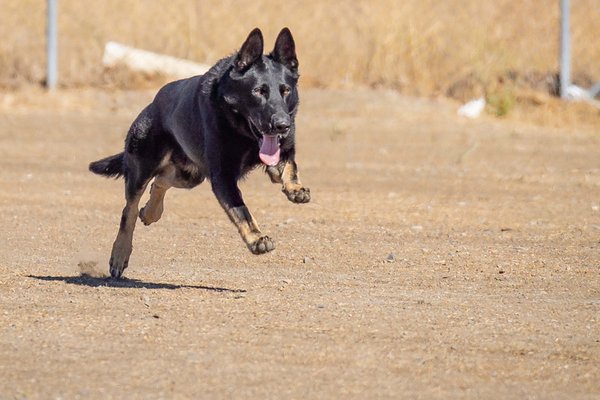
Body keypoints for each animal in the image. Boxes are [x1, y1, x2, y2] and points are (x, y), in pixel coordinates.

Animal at [92, 28, 314, 278]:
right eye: (259, 91)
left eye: (286, 91)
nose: (283, 125)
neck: (243, 133)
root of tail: (153, 104)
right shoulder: (222, 178)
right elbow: (240, 210)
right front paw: (256, 239)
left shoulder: (280, 153)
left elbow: (289, 166)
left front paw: (296, 189)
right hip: (142, 170)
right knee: (128, 211)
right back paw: (120, 254)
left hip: (190, 176)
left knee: (160, 181)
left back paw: (150, 212)